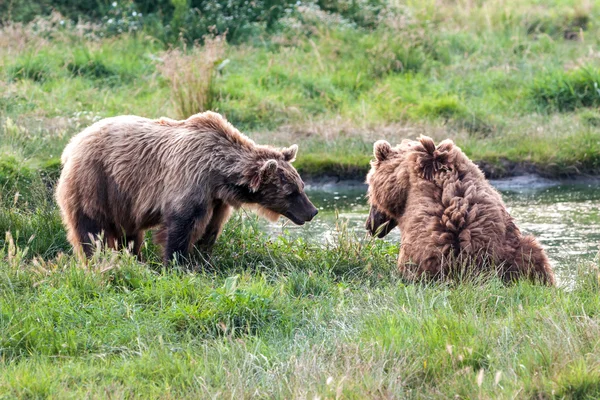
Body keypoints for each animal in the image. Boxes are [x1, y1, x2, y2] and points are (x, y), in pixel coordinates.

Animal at [56, 111, 318, 264]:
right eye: (291, 192)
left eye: (301, 185)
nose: (312, 211)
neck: (218, 174)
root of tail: (73, 142)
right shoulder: (188, 181)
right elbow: (181, 226)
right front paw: (177, 263)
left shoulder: (216, 200)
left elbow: (211, 229)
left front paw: (203, 258)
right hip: (96, 182)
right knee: (91, 228)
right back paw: (97, 259)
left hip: (123, 200)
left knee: (128, 235)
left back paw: (134, 258)